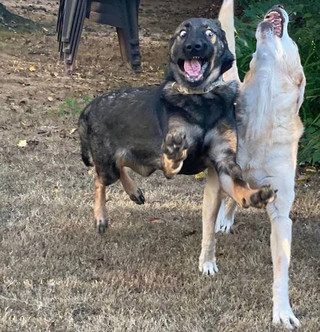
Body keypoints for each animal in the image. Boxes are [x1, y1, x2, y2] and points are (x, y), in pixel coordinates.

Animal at [79, 16, 276, 272]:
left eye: (209, 32)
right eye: (182, 34)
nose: (194, 47)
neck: (200, 97)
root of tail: (89, 107)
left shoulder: (223, 161)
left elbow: (238, 185)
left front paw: (253, 196)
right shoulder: (170, 152)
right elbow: (172, 160)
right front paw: (174, 154)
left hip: (136, 158)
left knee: (120, 166)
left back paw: (134, 192)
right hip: (109, 164)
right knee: (99, 179)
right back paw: (101, 217)